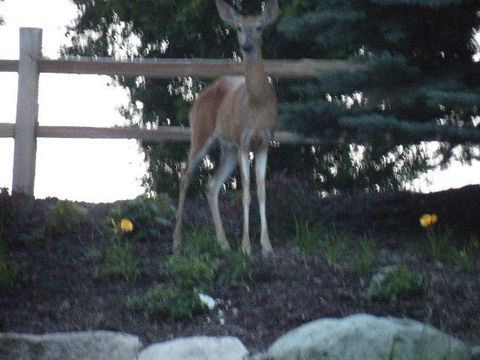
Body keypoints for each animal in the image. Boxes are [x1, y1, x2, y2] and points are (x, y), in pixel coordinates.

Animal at [172, 0, 280, 258]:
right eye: (239, 28)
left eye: (259, 27)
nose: (247, 46)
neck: (256, 104)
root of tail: (198, 98)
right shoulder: (243, 140)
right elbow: (246, 193)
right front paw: (246, 246)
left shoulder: (264, 143)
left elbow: (262, 191)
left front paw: (267, 246)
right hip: (200, 133)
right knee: (185, 175)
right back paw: (177, 242)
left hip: (227, 148)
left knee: (211, 185)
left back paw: (223, 243)